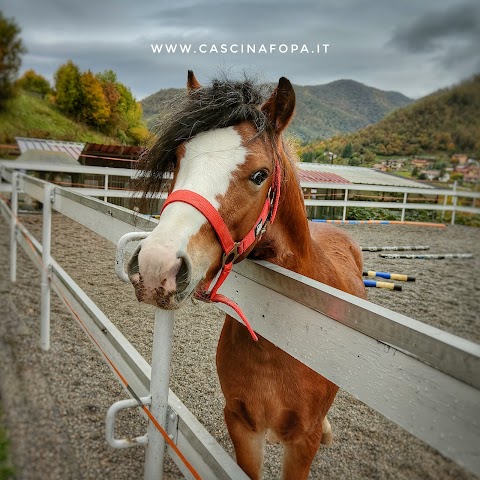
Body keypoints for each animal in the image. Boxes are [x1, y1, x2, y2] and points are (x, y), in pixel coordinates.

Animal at [128, 71, 368, 480]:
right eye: (177, 159)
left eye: (260, 175)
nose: (156, 265)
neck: (279, 345)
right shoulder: (242, 424)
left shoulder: (301, 443)